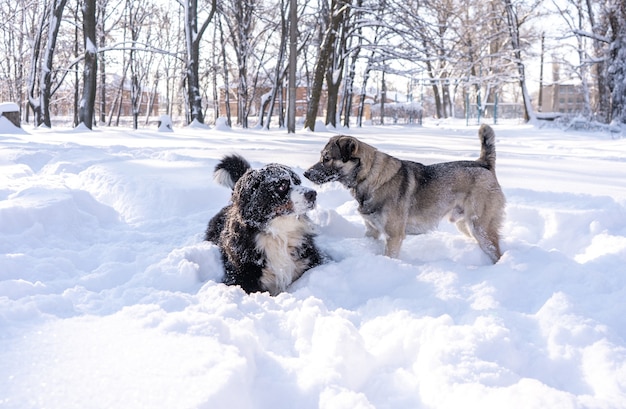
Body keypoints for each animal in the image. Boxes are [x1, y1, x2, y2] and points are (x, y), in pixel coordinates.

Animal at [304, 123, 504, 262]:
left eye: (327, 158)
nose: (305, 173)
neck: (370, 176)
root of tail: (483, 163)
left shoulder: (394, 237)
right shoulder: (372, 231)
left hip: (480, 228)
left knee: (497, 252)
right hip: (465, 225)